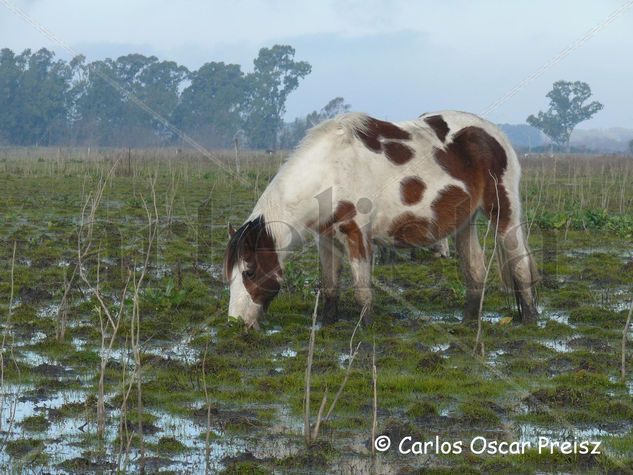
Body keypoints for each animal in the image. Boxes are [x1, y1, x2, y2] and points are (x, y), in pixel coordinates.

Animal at [222, 111, 540, 330]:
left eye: (249, 271)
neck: (329, 169)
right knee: (475, 269)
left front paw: (365, 327)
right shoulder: (325, 238)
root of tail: (495, 133)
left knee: (520, 263)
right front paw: (327, 324)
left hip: (504, 213)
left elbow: (362, 288)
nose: (235, 322)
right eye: (231, 275)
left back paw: (529, 319)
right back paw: (468, 321)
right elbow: (330, 285)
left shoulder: (356, 234)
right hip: (465, 222)